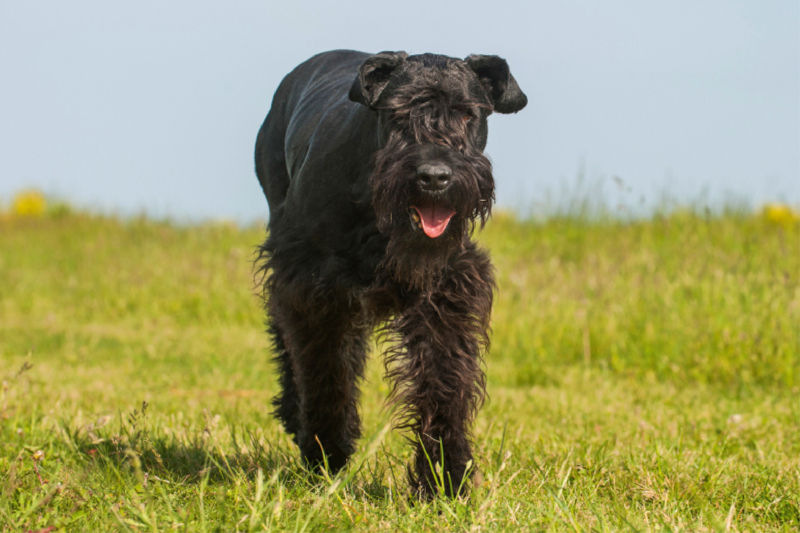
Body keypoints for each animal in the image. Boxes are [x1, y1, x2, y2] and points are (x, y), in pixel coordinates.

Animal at [255, 48, 524, 494]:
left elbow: (443, 379)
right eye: (398, 114)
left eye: (467, 113)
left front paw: (445, 476)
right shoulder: (311, 285)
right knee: (290, 343)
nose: (434, 177)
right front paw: (326, 455)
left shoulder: (445, 290)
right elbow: (323, 373)